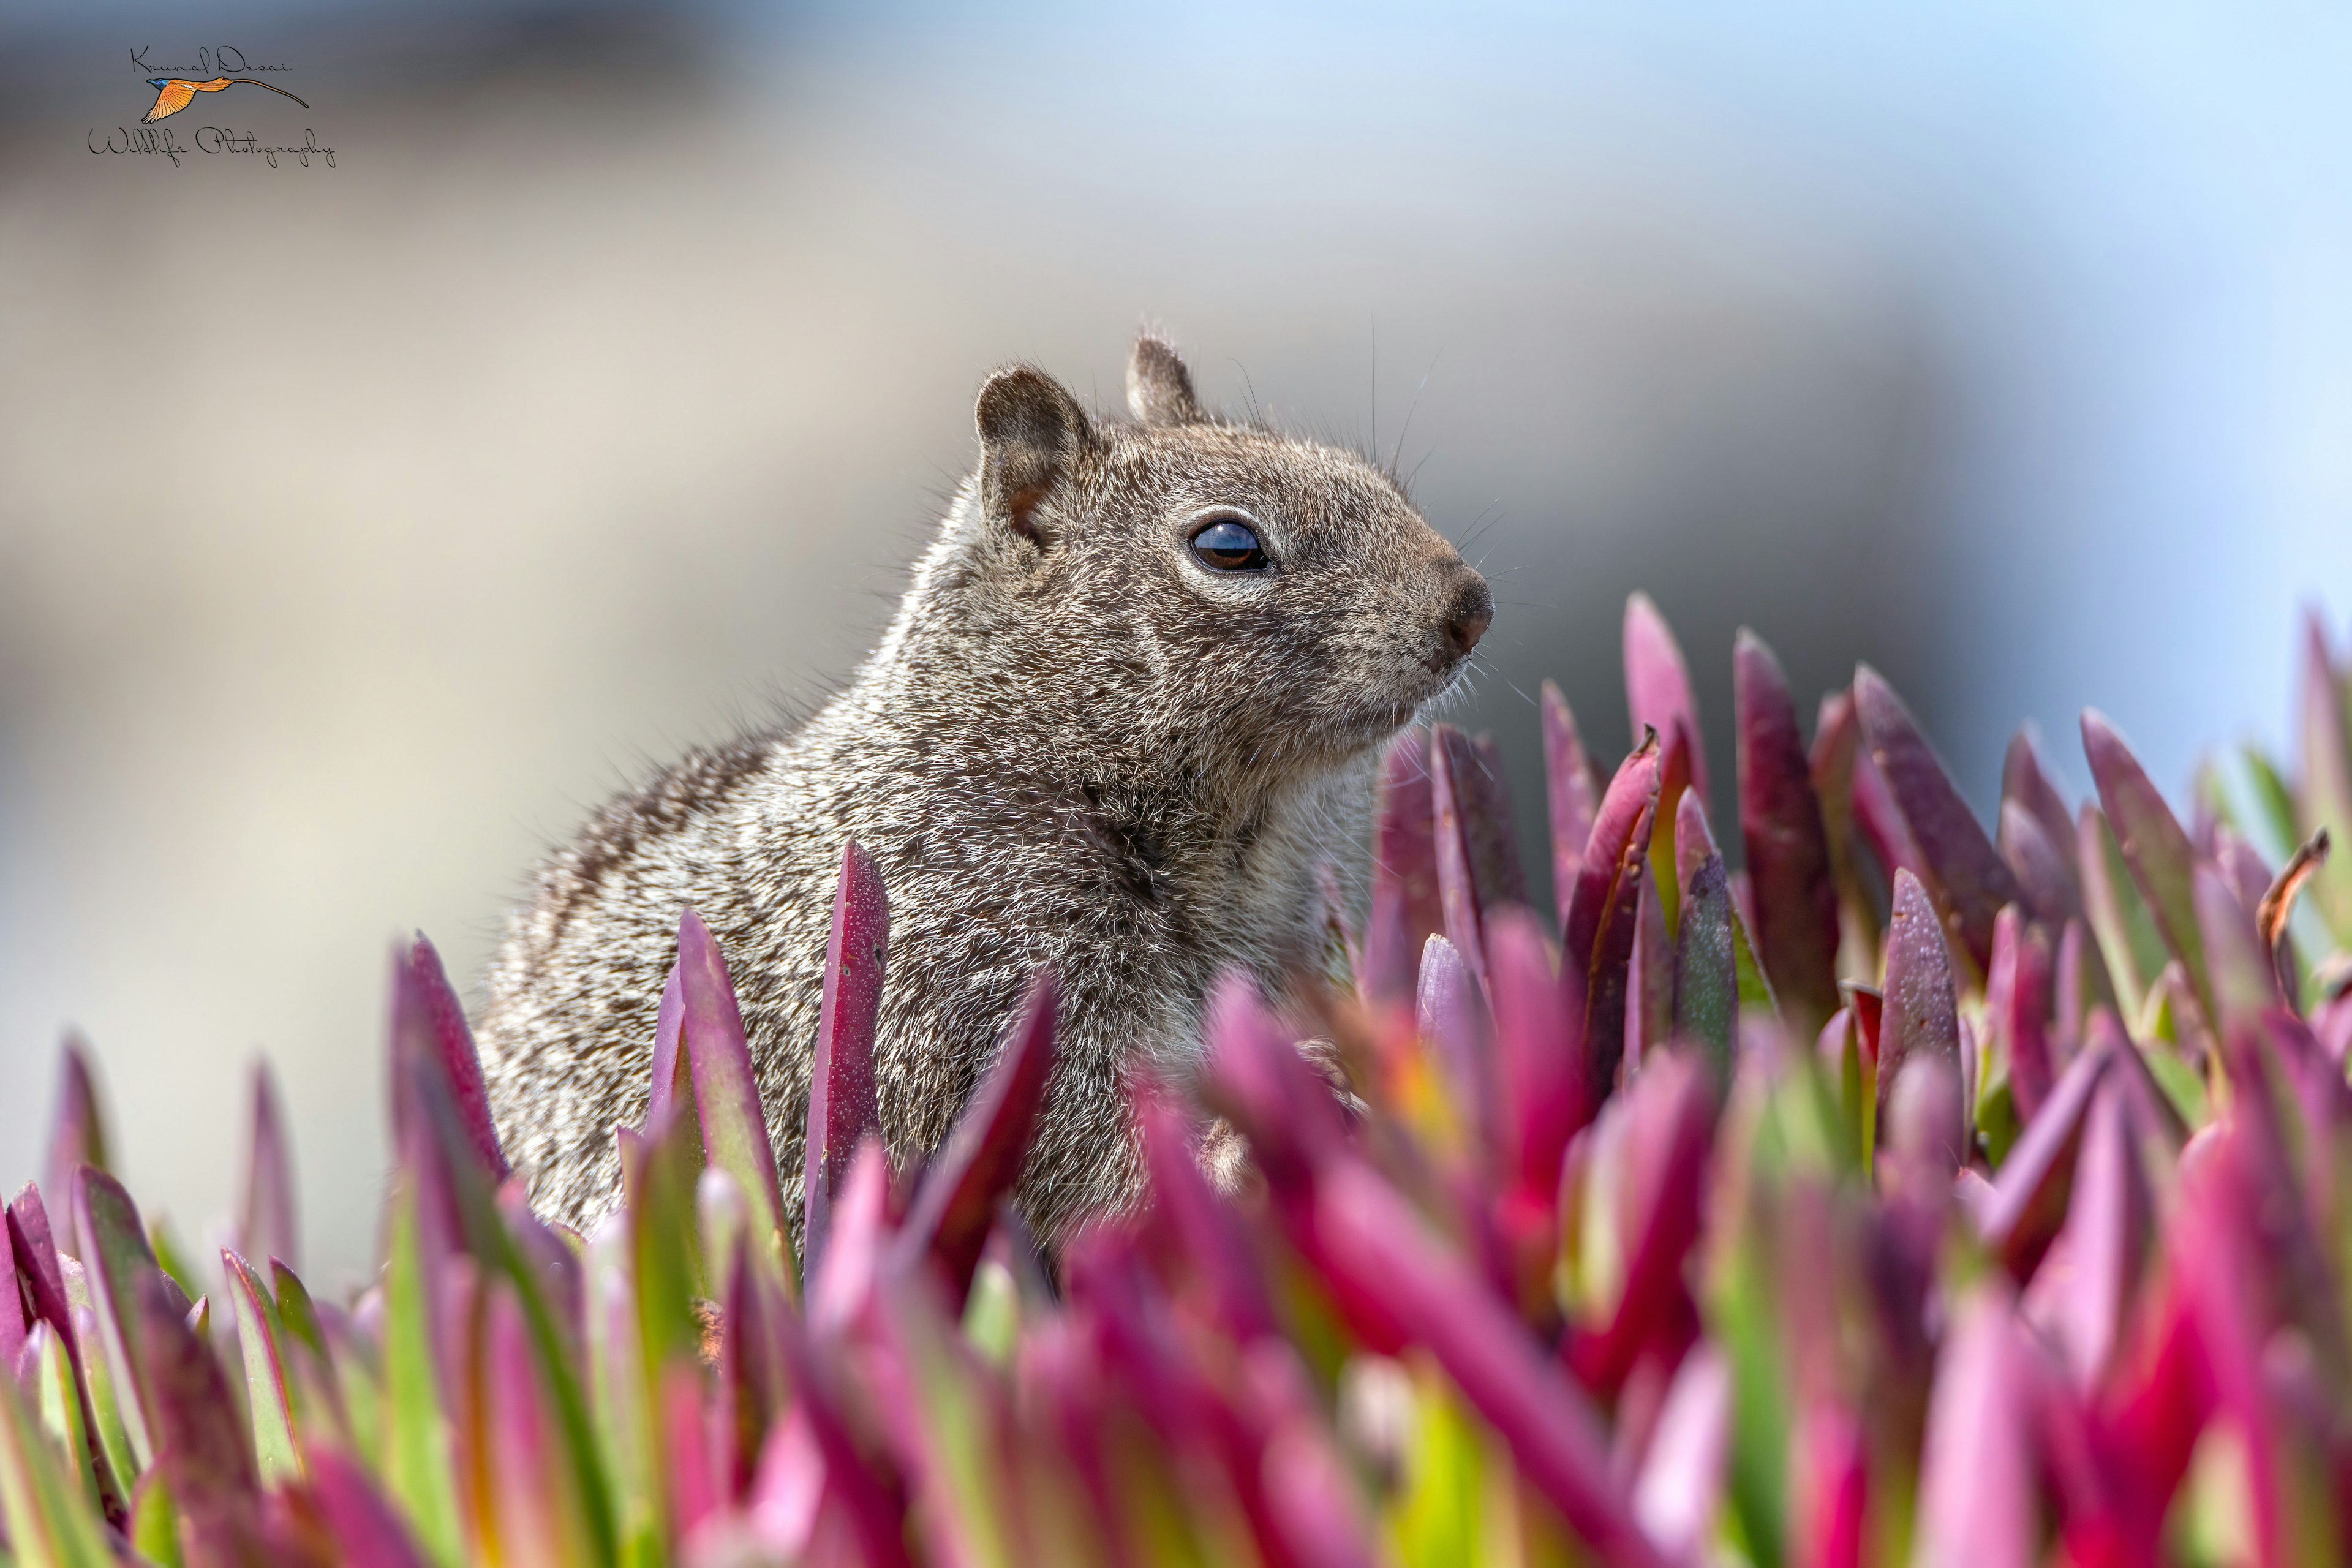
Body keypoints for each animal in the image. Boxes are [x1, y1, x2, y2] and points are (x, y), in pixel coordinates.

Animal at [482, 329, 1486, 1241]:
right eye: (1229, 545)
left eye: (1372, 481)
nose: (1471, 604)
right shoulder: (972, 972)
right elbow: (1081, 1144)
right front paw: (1239, 1148)